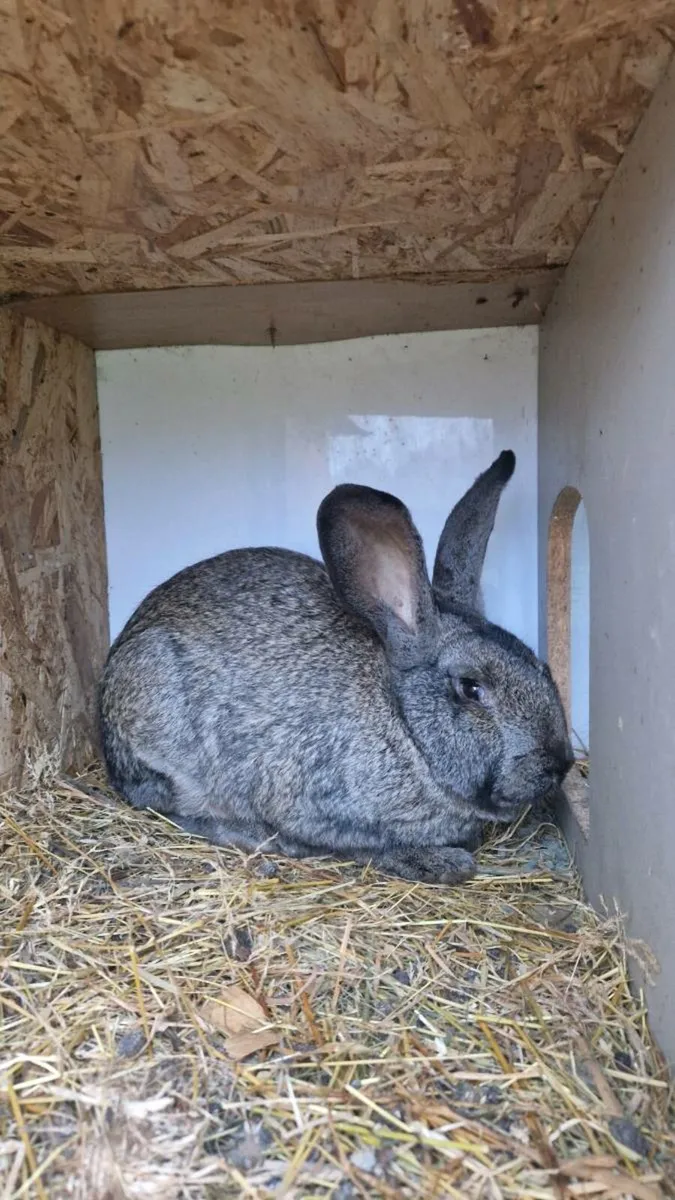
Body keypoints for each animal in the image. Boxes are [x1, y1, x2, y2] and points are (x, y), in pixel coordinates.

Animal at [98, 449, 573, 885]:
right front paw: (440, 862)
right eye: (472, 688)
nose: (560, 763)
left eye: (542, 667)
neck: (407, 730)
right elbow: (364, 847)